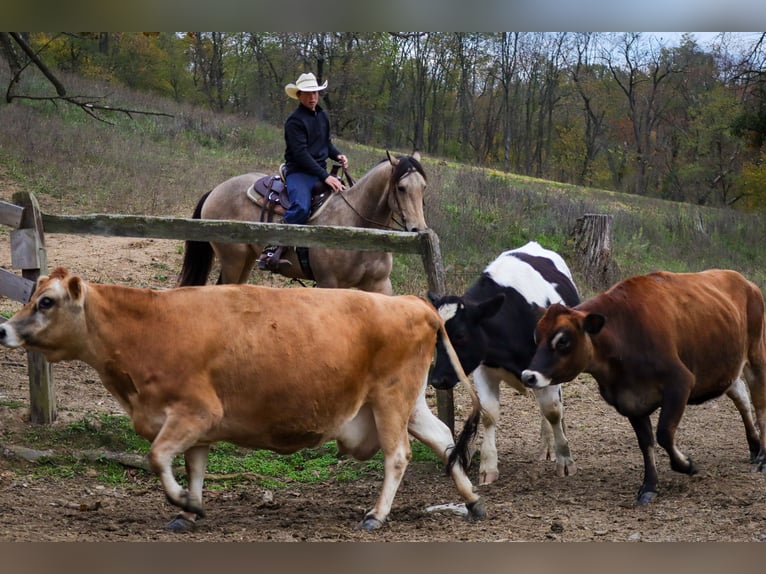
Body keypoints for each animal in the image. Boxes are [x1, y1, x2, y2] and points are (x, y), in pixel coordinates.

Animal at [177, 152, 428, 295]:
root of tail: (215, 190)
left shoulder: (380, 285)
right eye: (401, 188)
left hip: (246, 259)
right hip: (233, 259)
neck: (357, 227)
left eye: (424, 187)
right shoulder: (329, 283)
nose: (418, 229)